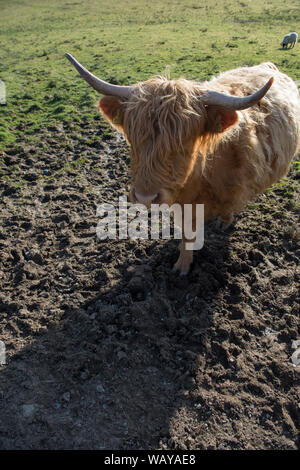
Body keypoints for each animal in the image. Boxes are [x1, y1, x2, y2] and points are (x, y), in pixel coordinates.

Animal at [65, 54, 300, 276]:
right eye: (132, 138)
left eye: (184, 142)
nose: (145, 198)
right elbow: (187, 233)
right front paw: (182, 264)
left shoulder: (233, 190)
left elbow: (227, 208)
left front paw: (223, 222)